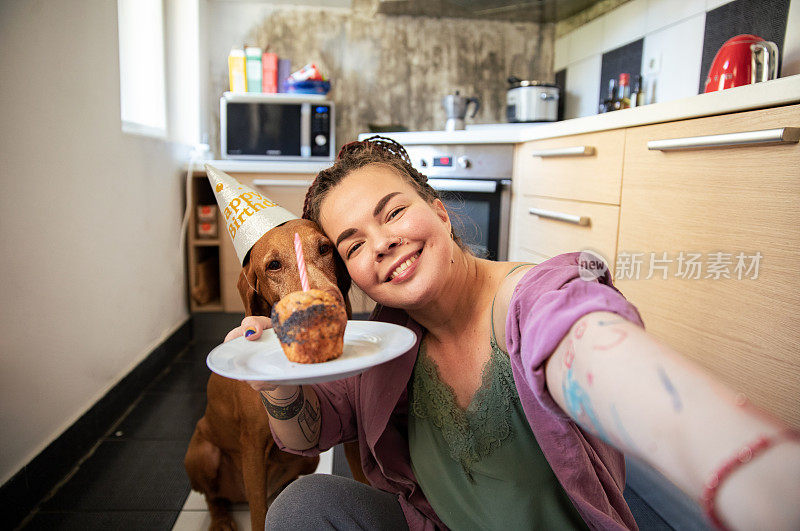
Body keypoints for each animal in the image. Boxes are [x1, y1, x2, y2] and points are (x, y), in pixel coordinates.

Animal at [184, 220, 366, 531]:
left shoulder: (349, 433)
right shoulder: (253, 447)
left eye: (325, 248)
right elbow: (258, 515)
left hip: (308, 461)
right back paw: (221, 520)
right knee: (213, 497)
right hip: (202, 454)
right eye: (273, 265)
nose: (326, 303)